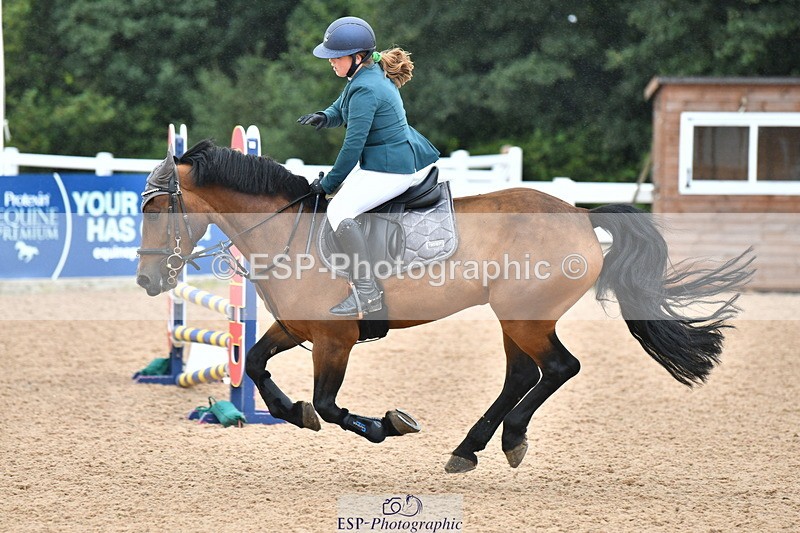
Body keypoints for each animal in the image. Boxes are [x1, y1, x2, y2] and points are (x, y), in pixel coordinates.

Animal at [136, 140, 754, 473]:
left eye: (159, 209)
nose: (146, 279)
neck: (285, 231)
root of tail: (579, 213)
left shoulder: (335, 339)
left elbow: (331, 406)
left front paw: (385, 425)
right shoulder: (296, 328)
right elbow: (261, 371)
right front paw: (295, 412)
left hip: (525, 315)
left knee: (558, 367)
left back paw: (508, 438)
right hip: (514, 319)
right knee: (522, 374)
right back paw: (472, 447)